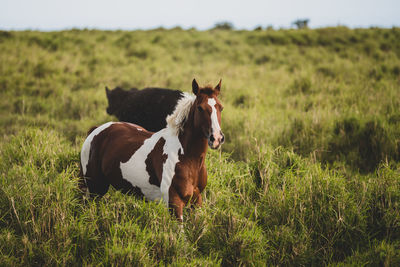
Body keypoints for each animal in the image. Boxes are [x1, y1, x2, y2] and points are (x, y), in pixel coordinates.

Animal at [80, 79, 225, 222]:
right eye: (200, 108)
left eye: (220, 107)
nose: (216, 138)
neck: (187, 158)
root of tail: (96, 130)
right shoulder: (174, 203)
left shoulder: (197, 200)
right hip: (95, 188)